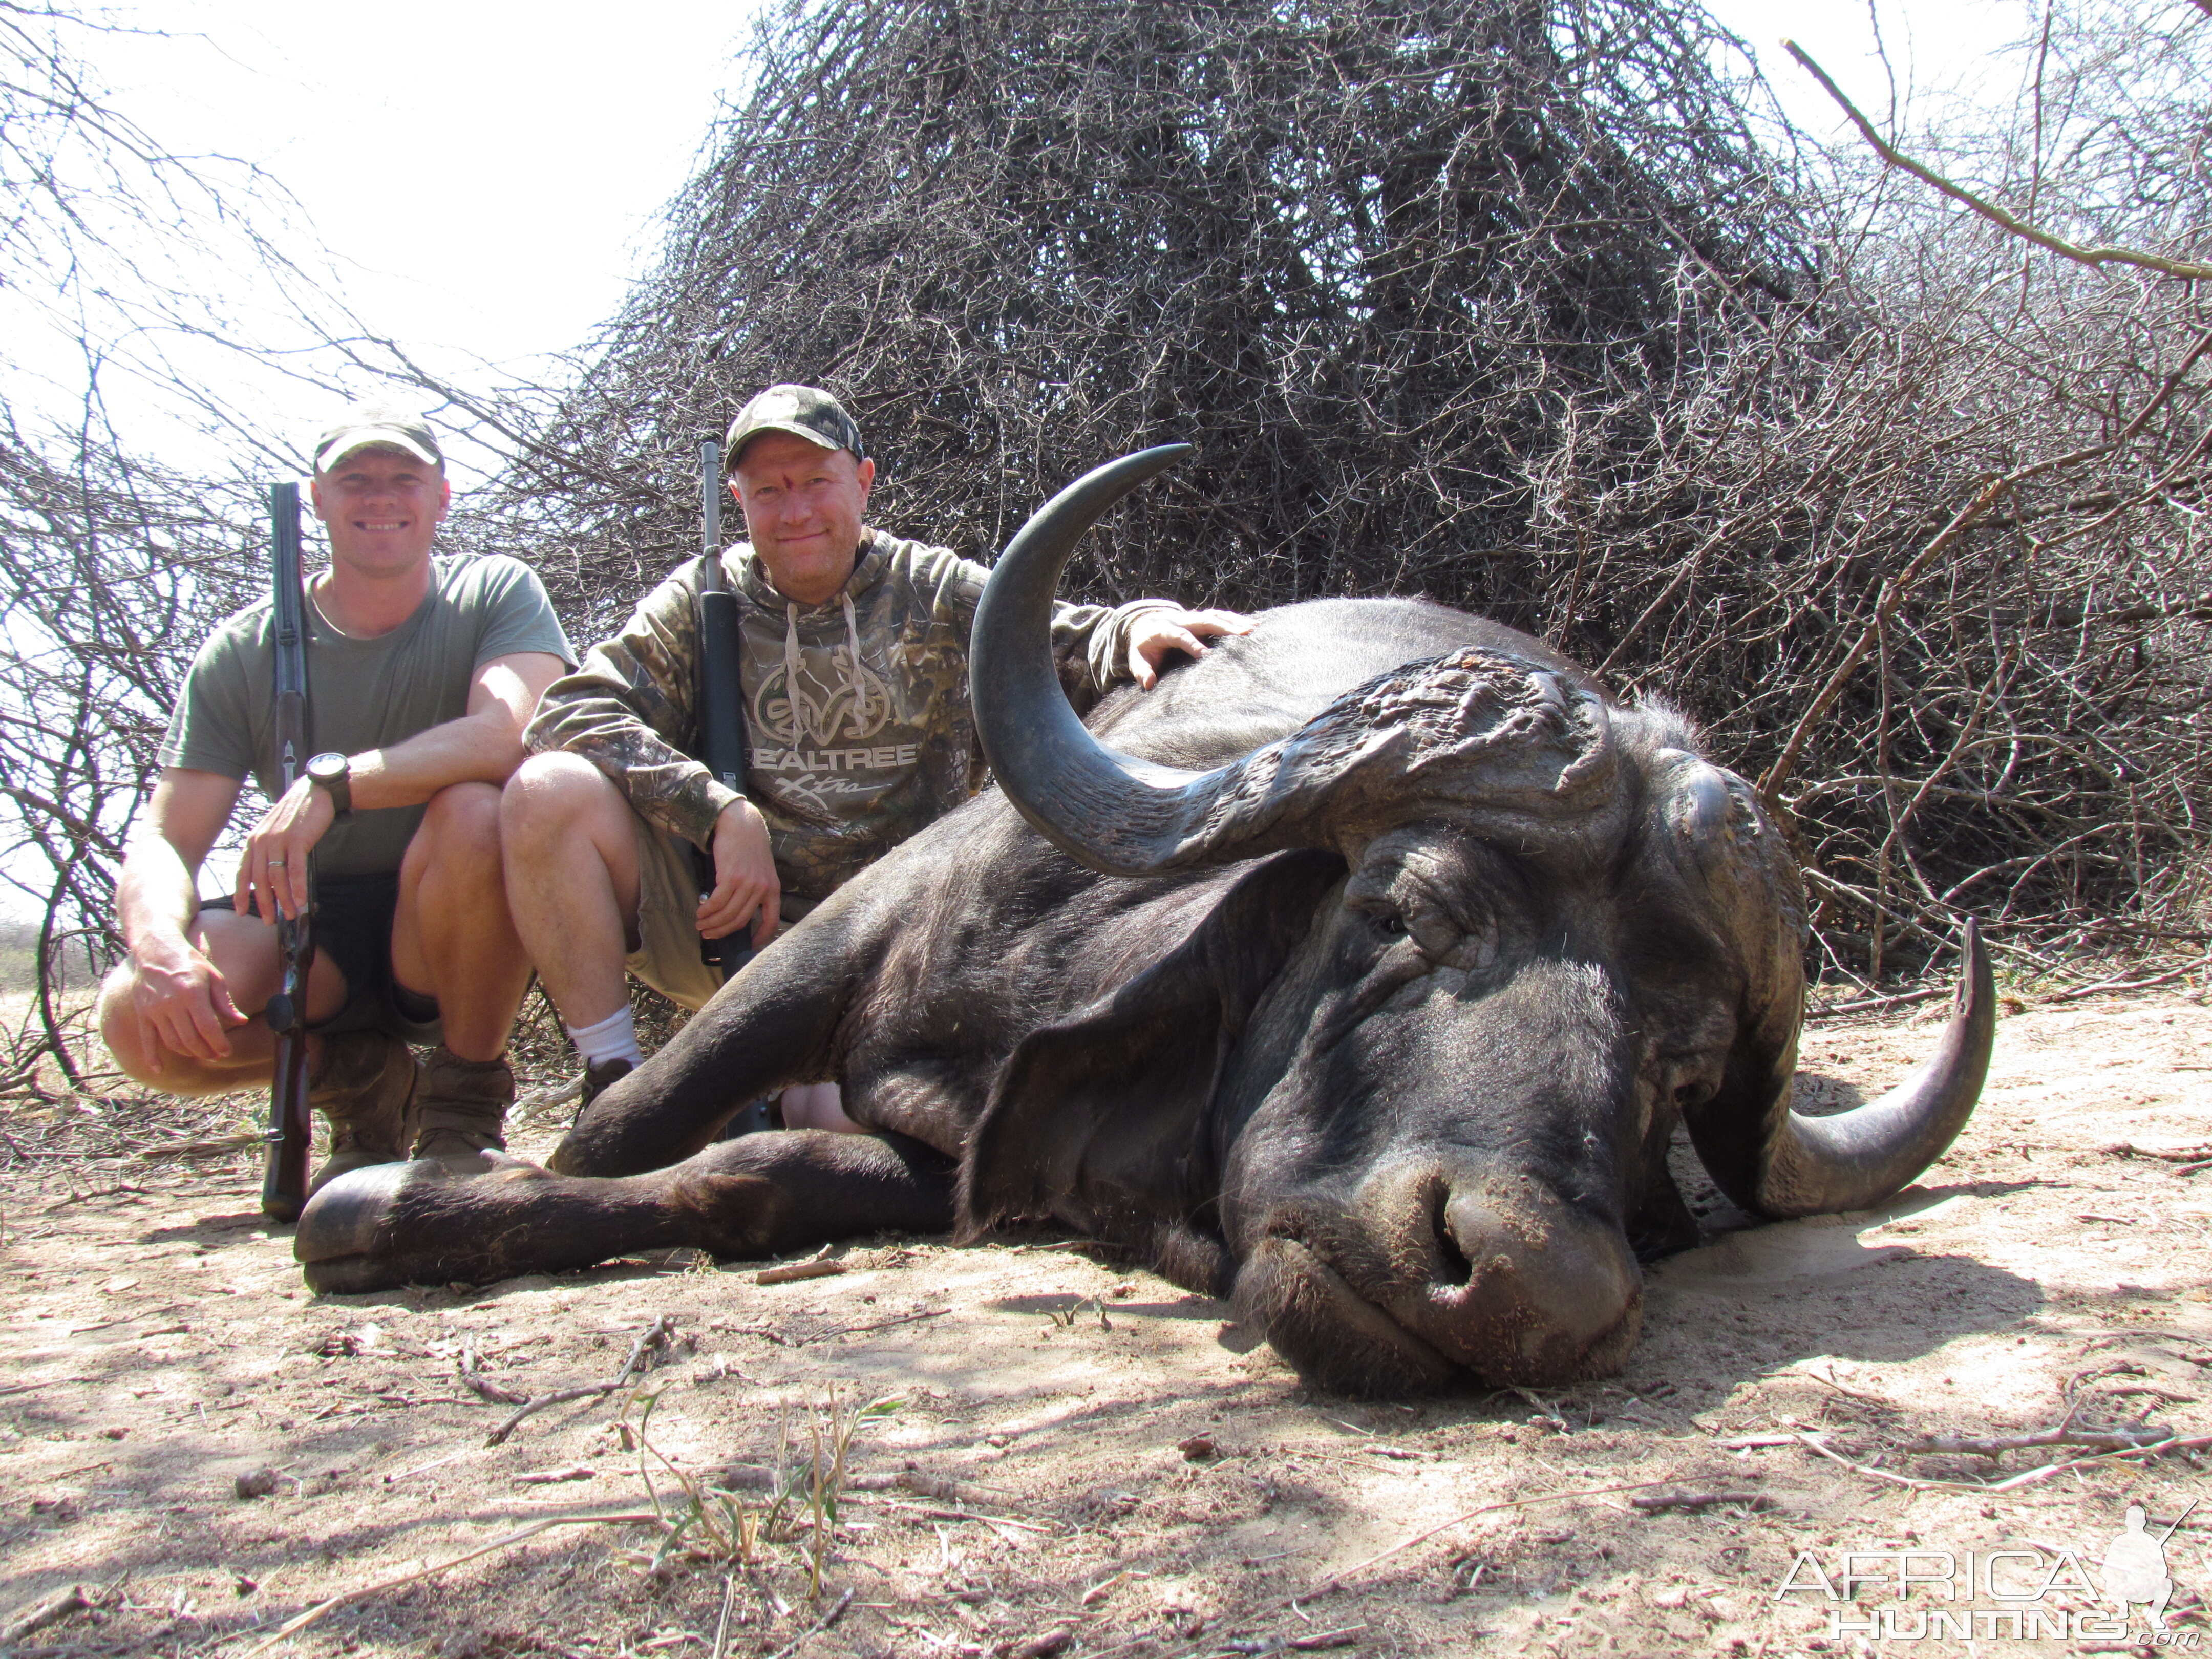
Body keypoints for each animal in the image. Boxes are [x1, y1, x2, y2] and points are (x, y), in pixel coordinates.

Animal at [294, 444, 1991, 1407]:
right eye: (1409, 909)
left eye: (1679, 1073)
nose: (1532, 1288)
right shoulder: (836, 941)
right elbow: (623, 1127)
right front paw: (384, 1204)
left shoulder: (946, 1165)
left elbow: (761, 1178)